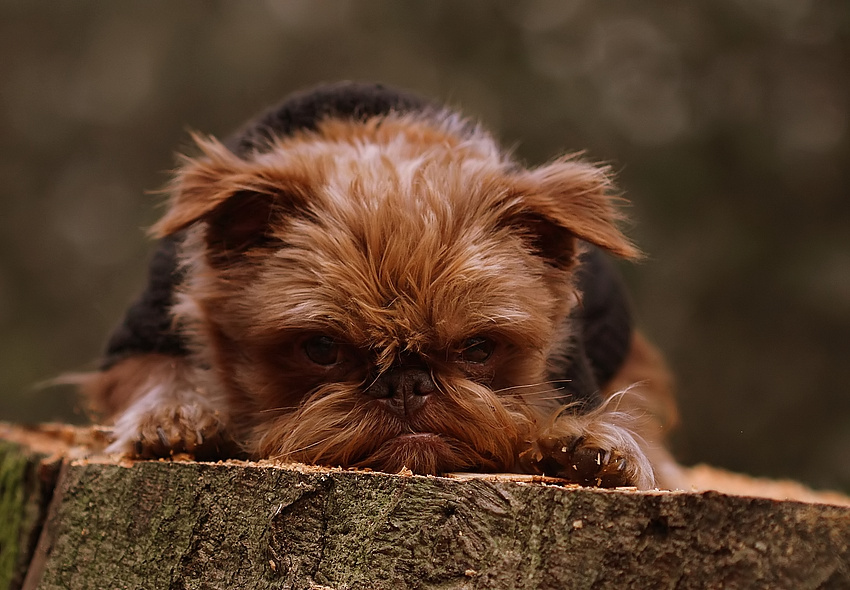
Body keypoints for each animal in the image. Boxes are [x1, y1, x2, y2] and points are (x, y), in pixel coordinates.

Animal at [79, 83, 676, 490]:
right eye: (321, 348)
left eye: (478, 349)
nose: (406, 384)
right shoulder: (136, 341)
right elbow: (157, 373)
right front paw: (176, 415)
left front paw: (587, 443)